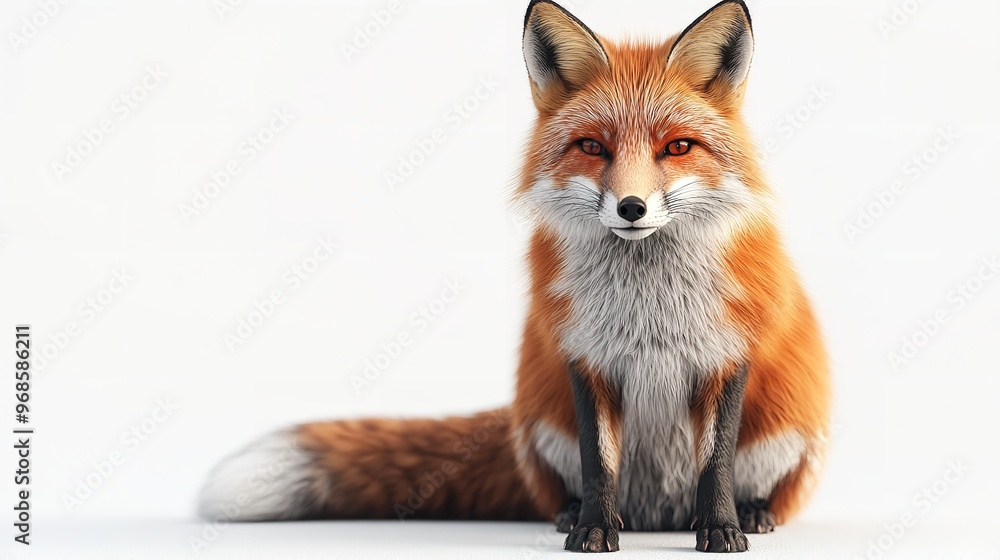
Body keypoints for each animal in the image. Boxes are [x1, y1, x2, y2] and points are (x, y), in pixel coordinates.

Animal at [198, 0, 831, 554]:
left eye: (677, 147)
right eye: (592, 146)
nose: (631, 207)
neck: (647, 308)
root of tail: (659, 515)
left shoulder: (727, 353)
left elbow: (714, 463)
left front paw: (722, 530)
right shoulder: (586, 354)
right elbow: (598, 463)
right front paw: (593, 531)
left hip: (784, 429)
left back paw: (753, 511)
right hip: (544, 426)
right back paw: (571, 513)